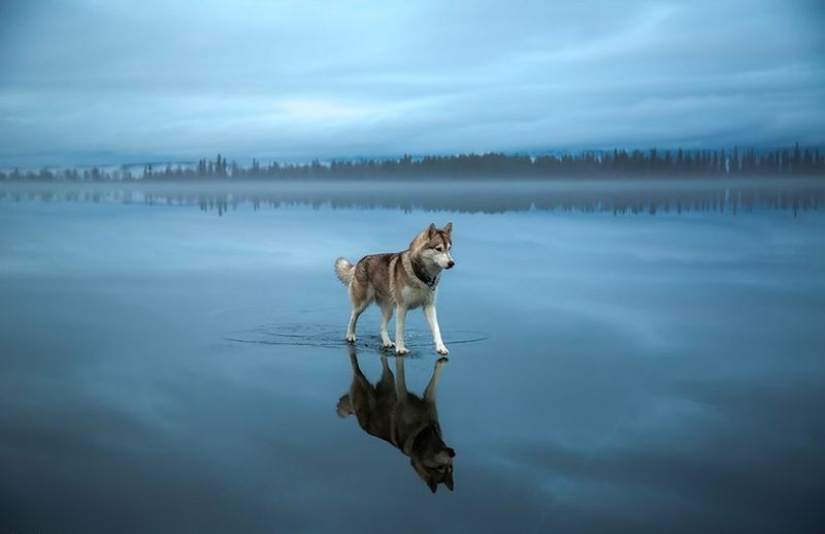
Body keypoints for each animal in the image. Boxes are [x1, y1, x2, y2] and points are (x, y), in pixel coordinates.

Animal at [332, 222, 454, 356]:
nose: (452, 263)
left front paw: (441, 347)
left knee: (381, 326)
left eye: (449, 248)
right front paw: (400, 349)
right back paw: (350, 336)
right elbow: (400, 330)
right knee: (353, 317)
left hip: (389, 310)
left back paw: (387, 342)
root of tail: (360, 261)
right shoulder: (402, 307)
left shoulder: (429, 306)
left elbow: (436, 329)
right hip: (362, 304)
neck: (420, 275)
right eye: (438, 249)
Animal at [336, 348, 458, 494]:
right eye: (440, 468)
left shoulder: (429, 400)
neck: (423, 434)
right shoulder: (403, 397)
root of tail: (355, 414)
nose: (453, 453)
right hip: (363, 384)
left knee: (386, 367)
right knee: (355, 367)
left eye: (450, 469)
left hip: (388, 381)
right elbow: (401, 376)